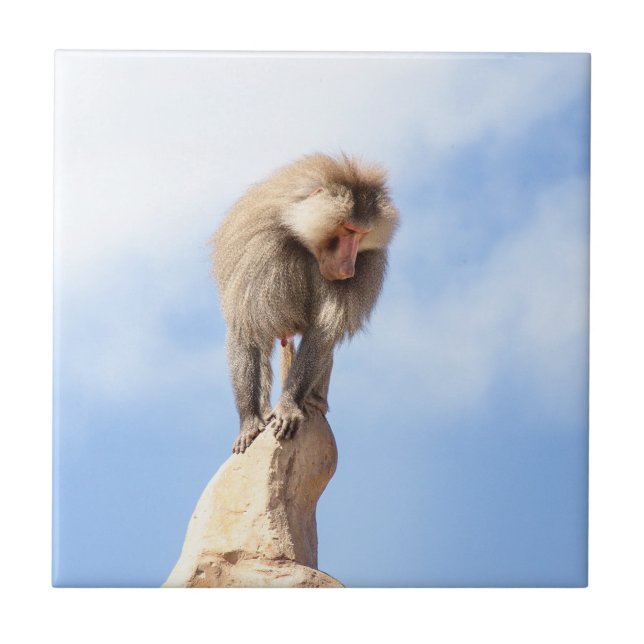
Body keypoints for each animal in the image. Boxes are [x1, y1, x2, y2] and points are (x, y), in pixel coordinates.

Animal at [212, 153, 399, 454]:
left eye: (362, 234)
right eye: (348, 230)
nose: (349, 269)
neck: (300, 235)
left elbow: (324, 332)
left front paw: (289, 406)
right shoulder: (259, 252)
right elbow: (247, 329)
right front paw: (249, 423)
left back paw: (313, 401)